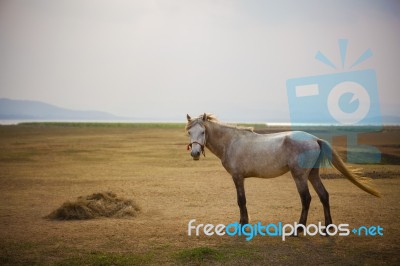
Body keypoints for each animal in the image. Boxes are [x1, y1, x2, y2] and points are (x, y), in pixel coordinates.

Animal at [186, 113, 380, 230]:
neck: (232, 141)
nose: (195, 153)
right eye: (189, 132)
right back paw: (327, 228)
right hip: (313, 174)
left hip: (300, 176)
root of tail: (314, 139)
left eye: (202, 132)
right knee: (324, 195)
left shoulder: (238, 177)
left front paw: (243, 224)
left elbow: (241, 201)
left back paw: (299, 229)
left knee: (306, 198)